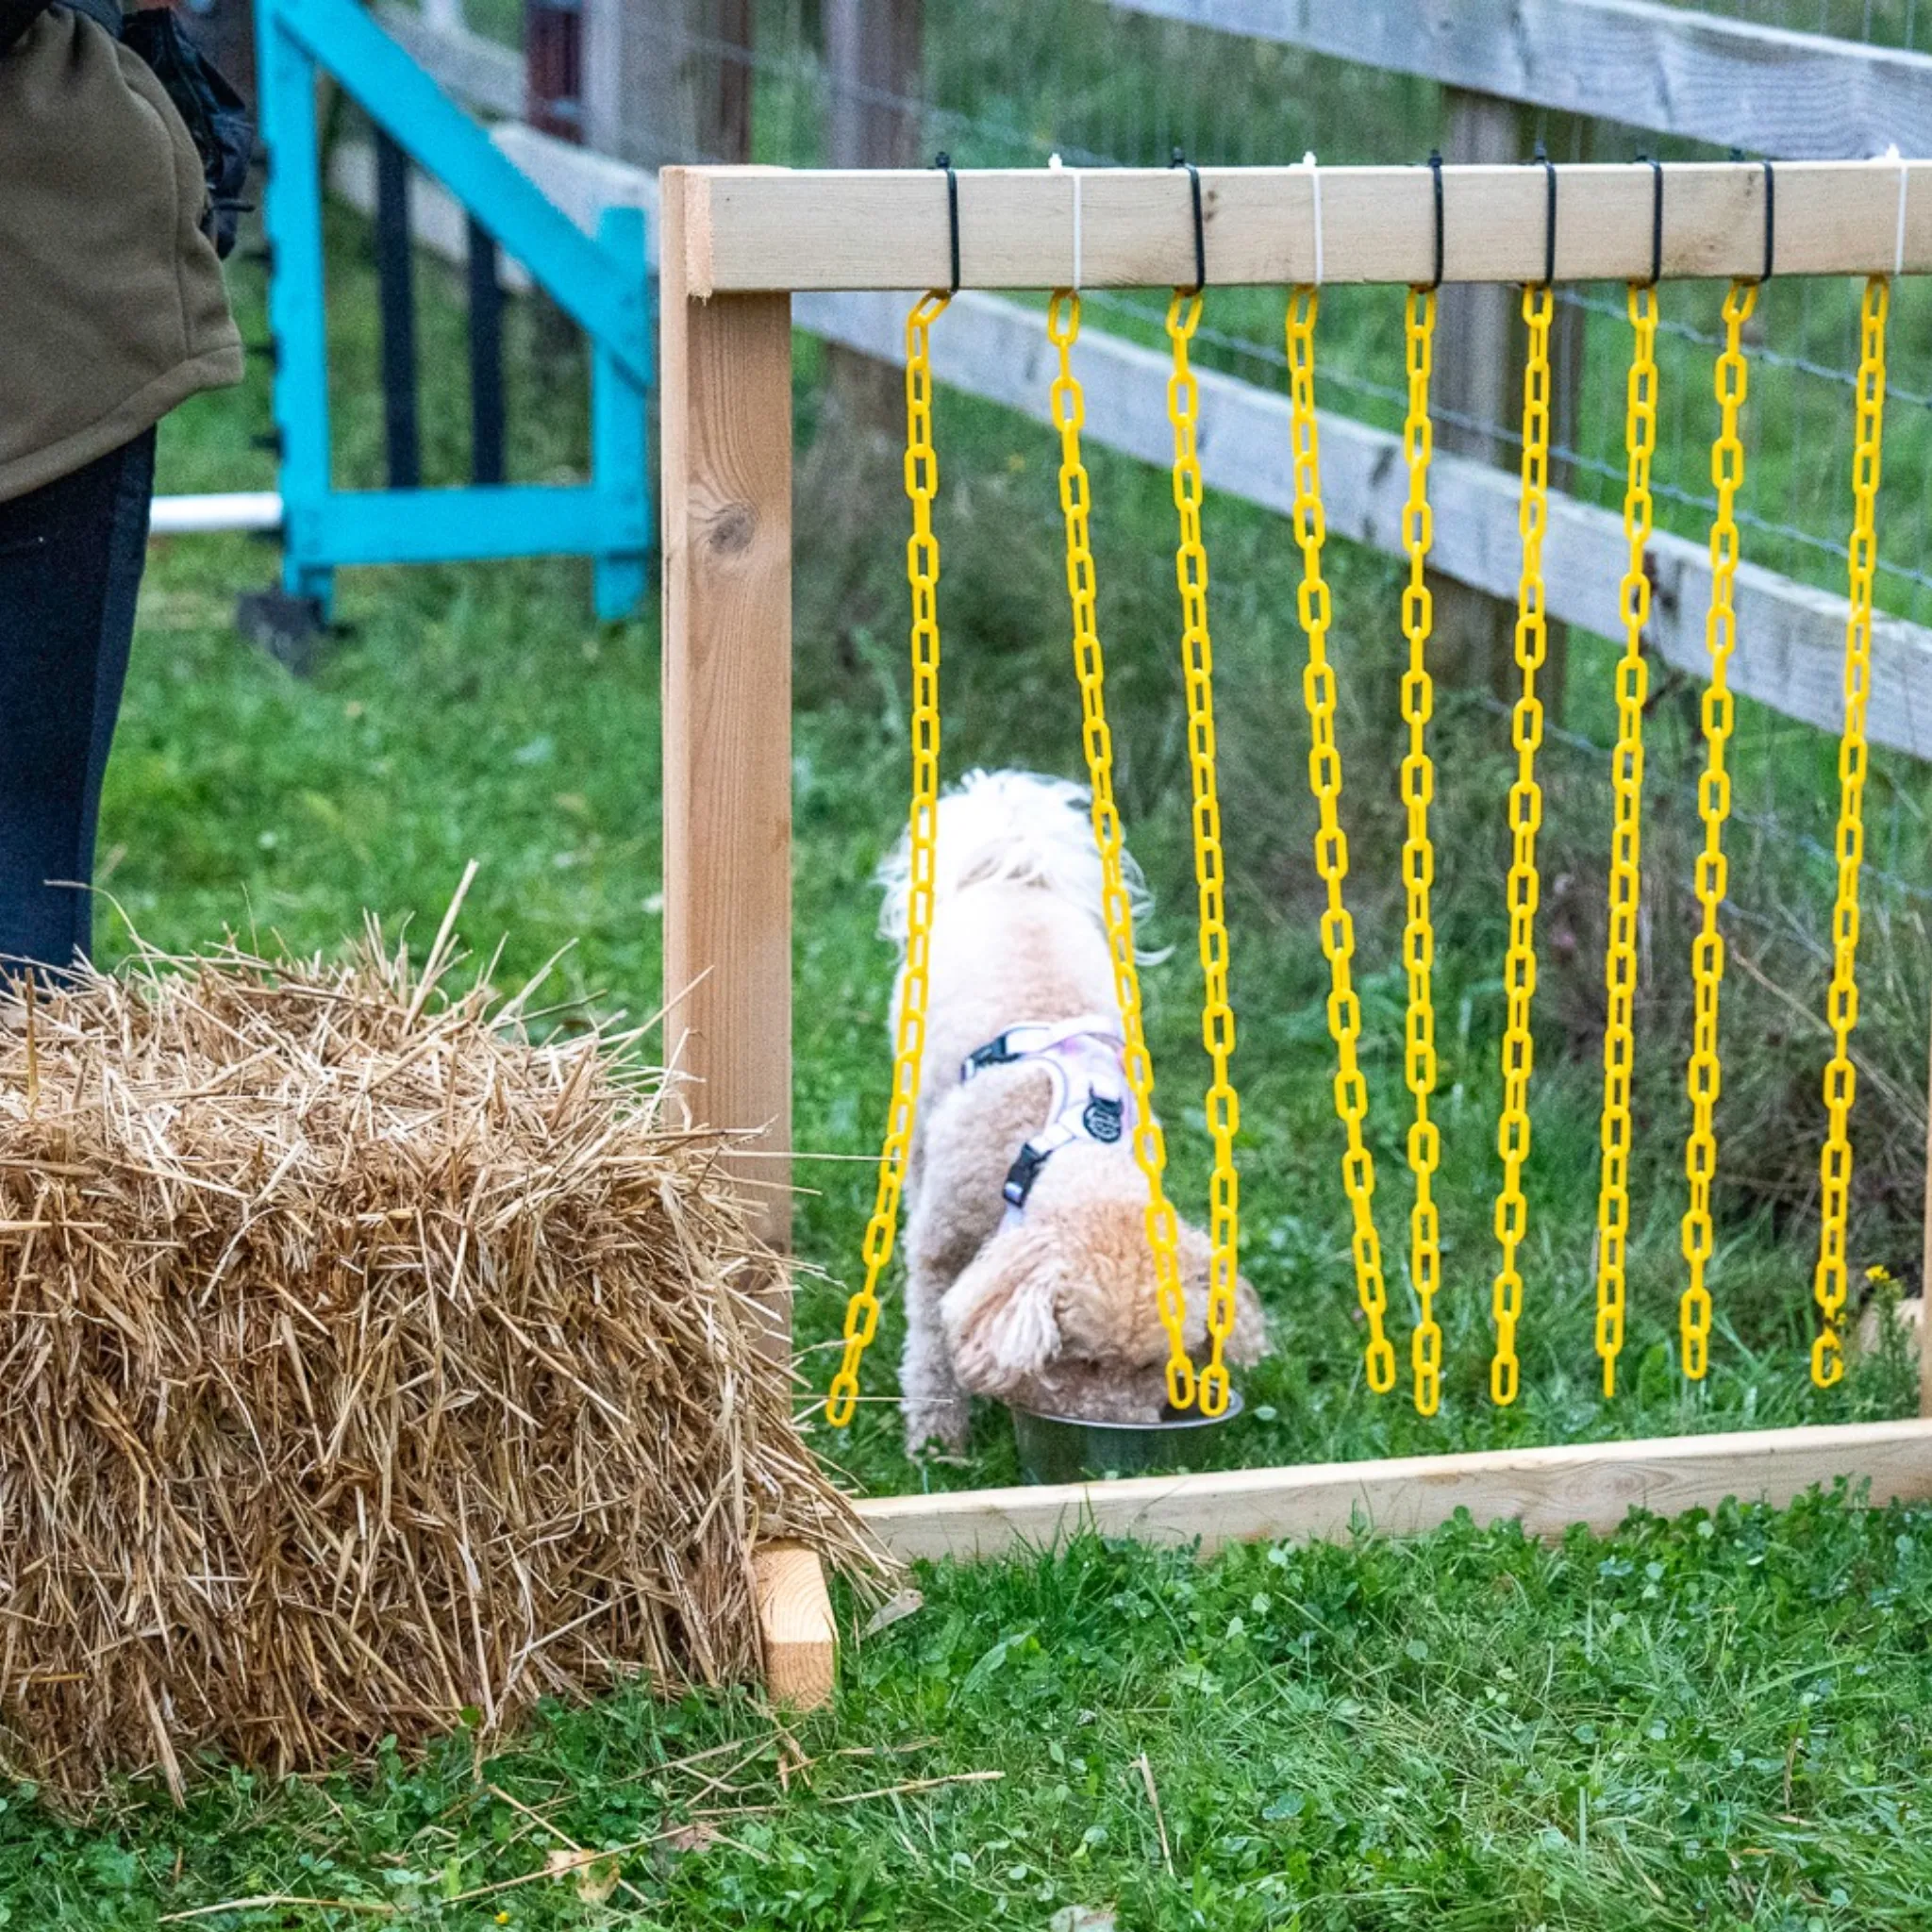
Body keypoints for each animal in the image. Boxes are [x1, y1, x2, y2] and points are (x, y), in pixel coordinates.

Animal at [876, 769, 1267, 1453]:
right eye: (1081, 1359)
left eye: (1155, 1364)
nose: (1117, 1443)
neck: (1073, 1145)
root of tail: (1014, 867)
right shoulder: (942, 1249)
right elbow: (931, 1343)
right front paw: (938, 1443)